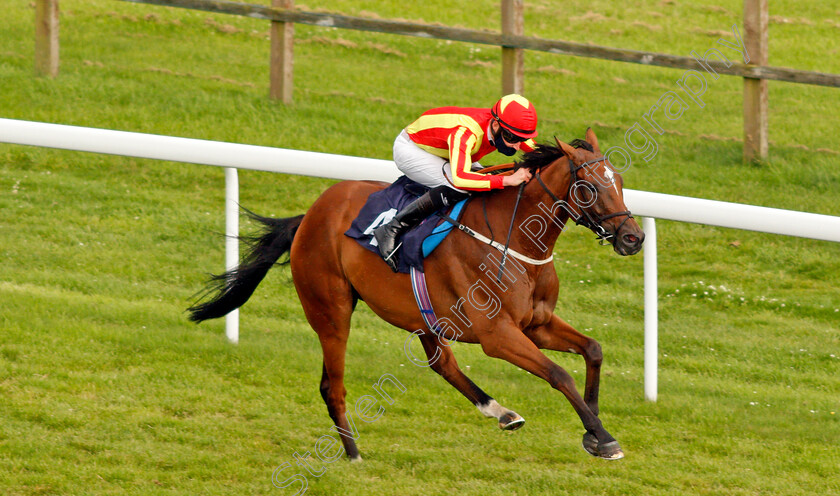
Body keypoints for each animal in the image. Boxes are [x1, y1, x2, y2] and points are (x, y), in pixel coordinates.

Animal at [189, 128, 644, 462]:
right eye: (589, 186)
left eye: (621, 182)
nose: (633, 238)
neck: (515, 238)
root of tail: (310, 215)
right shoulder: (497, 335)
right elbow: (559, 374)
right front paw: (603, 439)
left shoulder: (538, 323)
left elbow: (593, 349)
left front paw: (593, 427)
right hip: (331, 311)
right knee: (332, 385)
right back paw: (353, 453)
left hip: (421, 315)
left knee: (443, 363)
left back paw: (501, 412)